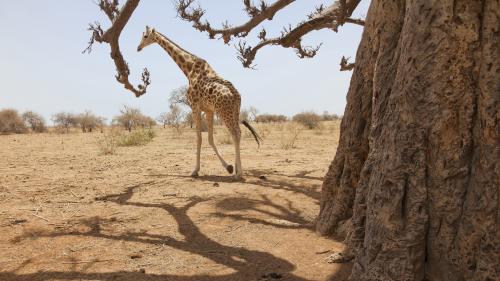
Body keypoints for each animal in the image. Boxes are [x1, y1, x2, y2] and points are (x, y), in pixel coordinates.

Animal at [137, 26, 262, 179]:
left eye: (145, 36)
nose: (138, 47)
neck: (189, 69)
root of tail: (235, 95)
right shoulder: (209, 110)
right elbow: (209, 138)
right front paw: (228, 167)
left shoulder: (195, 107)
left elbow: (199, 138)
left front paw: (195, 170)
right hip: (235, 111)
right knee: (238, 133)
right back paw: (237, 168)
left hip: (224, 112)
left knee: (235, 133)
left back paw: (239, 173)